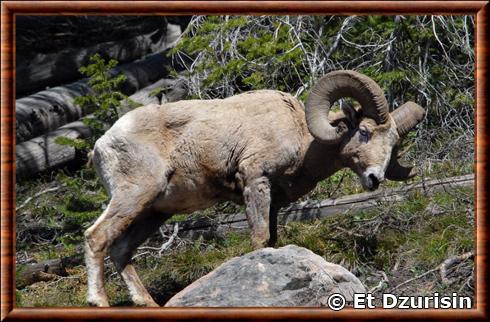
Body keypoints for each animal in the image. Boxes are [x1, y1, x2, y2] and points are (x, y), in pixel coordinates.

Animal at [85, 69, 424, 306]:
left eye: (393, 143)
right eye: (364, 133)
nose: (375, 178)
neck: (301, 138)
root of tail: (101, 145)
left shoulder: (273, 201)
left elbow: (271, 240)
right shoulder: (255, 181)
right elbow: (260, 240)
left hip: (154, 212)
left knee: (121, 250)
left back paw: (147, 303)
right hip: (134, 196)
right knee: (95, 237)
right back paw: (98, 301)